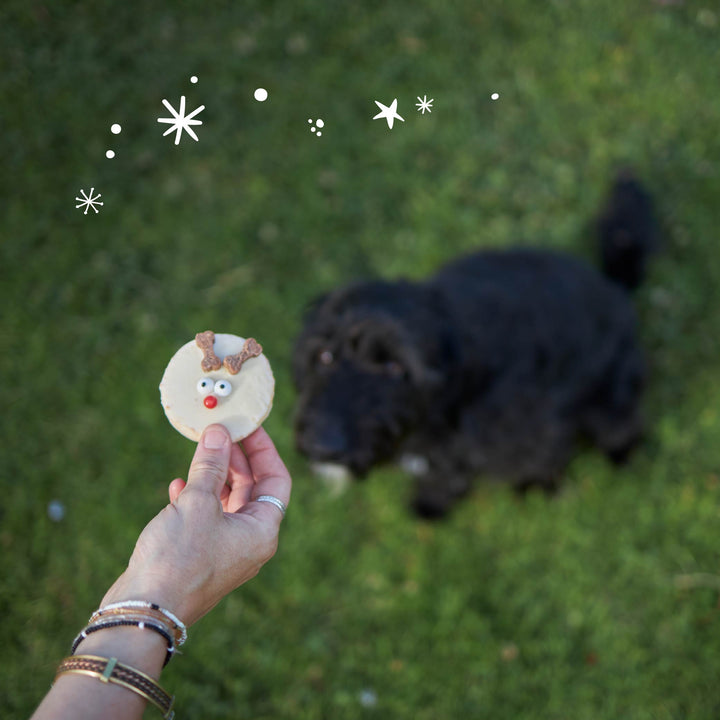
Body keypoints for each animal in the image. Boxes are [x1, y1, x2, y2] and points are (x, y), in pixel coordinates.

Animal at [292, 172, 660, 516]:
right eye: (324, 356)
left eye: (396, 367)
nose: (324, 446)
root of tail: (614, 286)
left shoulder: (536, 436)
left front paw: (533, 489)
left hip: (611, 399)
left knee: (623, 426)